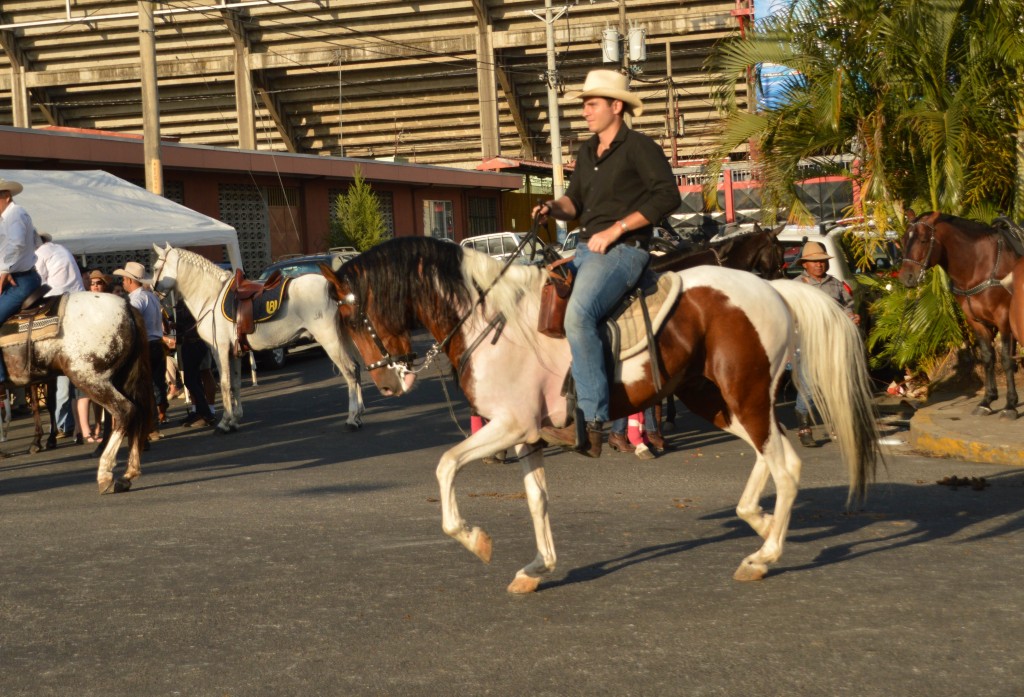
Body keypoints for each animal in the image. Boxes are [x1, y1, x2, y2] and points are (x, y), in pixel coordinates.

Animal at [149, 241, 362, 431]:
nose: (152, 292)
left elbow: (224, 384)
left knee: (350, 371)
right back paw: (359, 414)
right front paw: (235, 419)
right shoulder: (234, 353)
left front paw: (225, 422)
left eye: (156, 267)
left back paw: (352, 418)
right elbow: (235, 385)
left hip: (331, 341)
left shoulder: (220, 350)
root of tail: (333, 285)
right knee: (357, 369)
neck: (211, 297)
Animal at [321, 236, 880, 589]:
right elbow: (536, 499)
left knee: (783, 465)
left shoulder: (508, 425)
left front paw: (475, 539)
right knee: (776, 456)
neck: (487, 316)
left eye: (352, 314)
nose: (386, 382)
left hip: (742, 395)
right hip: (719, 400)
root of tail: (773, 290)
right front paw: (538, 567)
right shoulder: (526, 433)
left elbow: (445, 466)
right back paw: (760, 524)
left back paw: (764, 556)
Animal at [897, 211, 1015, 415]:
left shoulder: (1003, 318)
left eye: (923, 240)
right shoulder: (976, 321)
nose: (906, 277)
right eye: (904, 240)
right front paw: (987, 400)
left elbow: (1006, 358)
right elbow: (988, 357)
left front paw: (1010, 405)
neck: (980, 265)